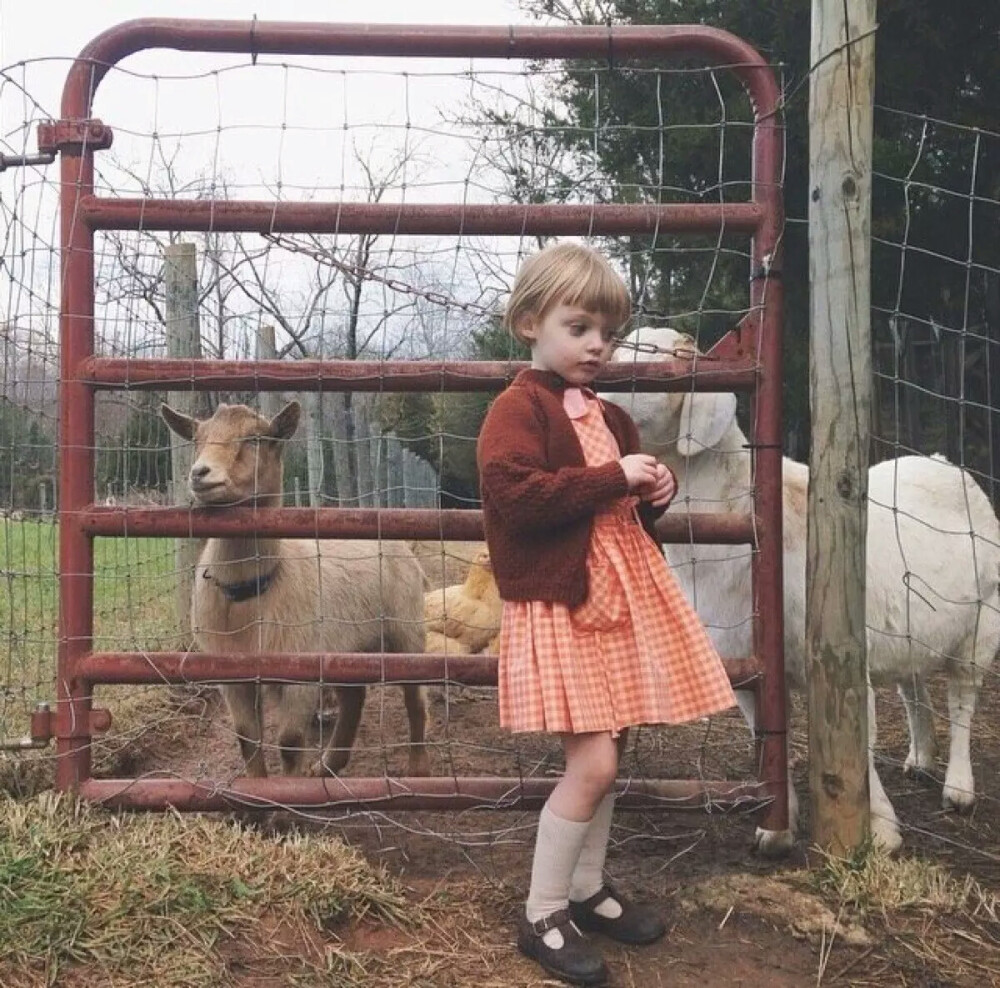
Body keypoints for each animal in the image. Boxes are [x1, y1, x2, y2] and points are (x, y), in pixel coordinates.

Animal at [161, 402, 430, 780]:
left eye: (257, 439)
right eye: (197, 439)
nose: (200, 473)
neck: (249, 595)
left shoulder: (299, 670)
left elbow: (289, 743)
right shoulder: (230, 674)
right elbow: (247, 739)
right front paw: (257, 790)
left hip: (406, 629)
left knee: (414, 698)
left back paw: (418, 766)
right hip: (347, 648)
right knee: (354, 698)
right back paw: (328, 765)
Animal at [600, 328, 1000, 852]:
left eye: (651, 368)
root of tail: (944, 463)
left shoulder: (842, 655)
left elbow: (860, 746)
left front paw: (880, 834)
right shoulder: (747, 669)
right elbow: (769, 737)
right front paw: (776, 829)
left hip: (982, 622)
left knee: (963, 699)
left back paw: (958, 788)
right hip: (913, 630)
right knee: (914, 688)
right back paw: (920, 759)